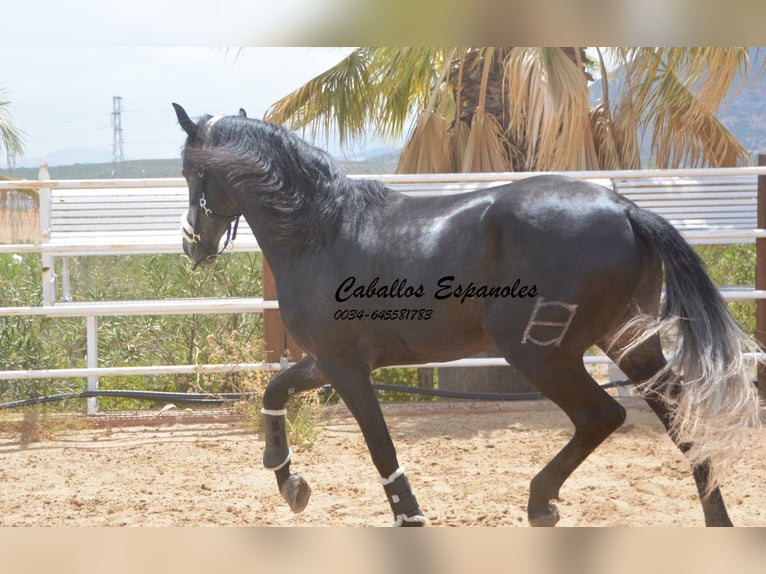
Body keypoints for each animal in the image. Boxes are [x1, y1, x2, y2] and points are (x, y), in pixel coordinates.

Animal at [172, 102, 760, 528]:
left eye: (189, 170)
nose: (192, 245)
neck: (322, 230)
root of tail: (626, 209)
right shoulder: (327, 361)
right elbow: (276, 391)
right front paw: (288, 481)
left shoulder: (346, 368)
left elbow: (380, 446)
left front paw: (409, 516)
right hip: (628, 342)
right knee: (681, 420)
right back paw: (715, 520)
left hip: (539, 353)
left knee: (602, 416)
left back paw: (540, 503)